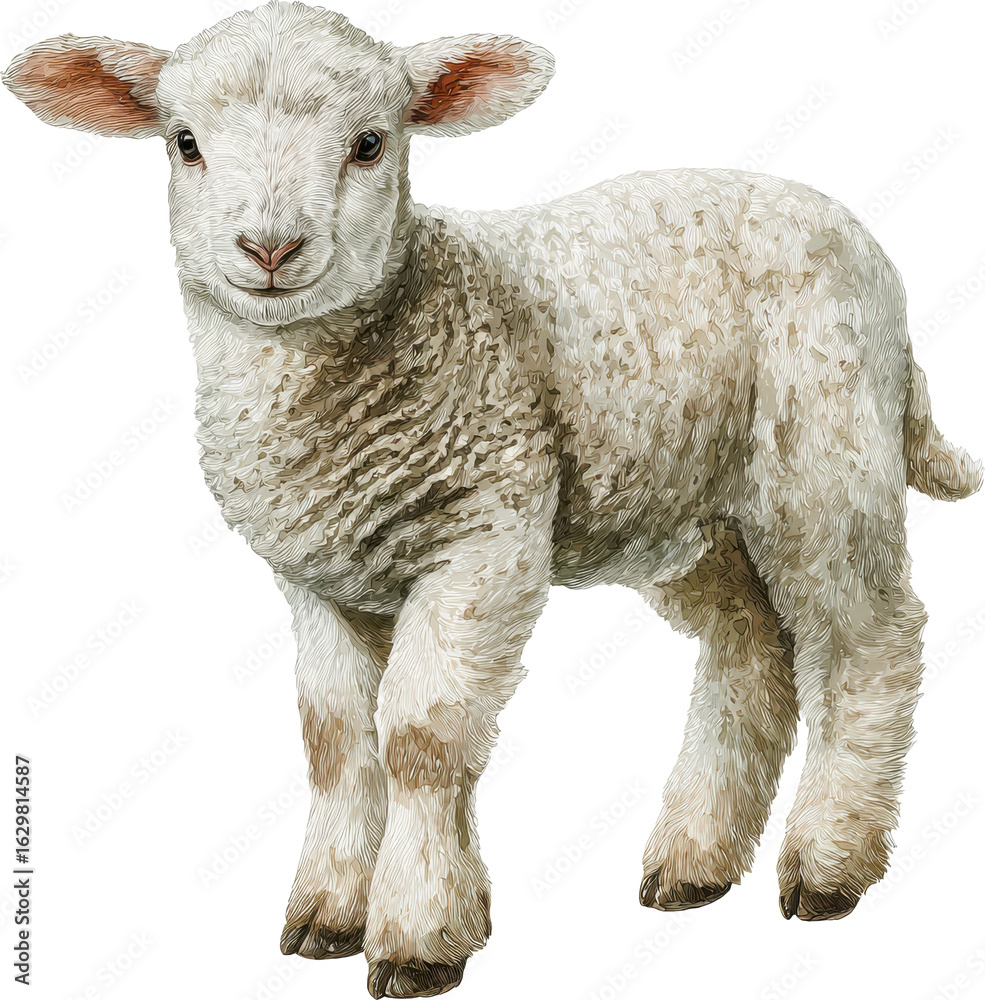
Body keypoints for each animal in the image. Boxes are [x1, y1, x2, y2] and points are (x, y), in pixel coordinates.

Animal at [4, 2, 980, 996]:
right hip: (689, 514)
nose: (270, 249)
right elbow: (336, 741)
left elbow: (420, 739)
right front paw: (326, 915)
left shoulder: (485, 536)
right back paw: (693, 863)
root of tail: (854, 238)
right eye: (185, 143)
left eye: (370, 143)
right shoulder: (319, 578)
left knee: (867, 639)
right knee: (751, 652)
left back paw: (827, 866)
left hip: (822, 454)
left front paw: (418, 935)